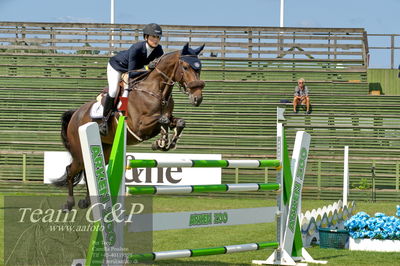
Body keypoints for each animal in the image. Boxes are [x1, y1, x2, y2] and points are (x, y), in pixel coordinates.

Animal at [52, 42, 206, 211]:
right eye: (185, 67)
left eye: (199, 68)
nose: (197, 98)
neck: (155, 91)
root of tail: (75, 114)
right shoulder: (139, 126)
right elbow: (163, 120)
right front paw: (161, 142)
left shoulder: (165, 119)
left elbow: (178, 122)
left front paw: (165, 143)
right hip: (79, 152)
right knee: (70, 170)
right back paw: (68, 204)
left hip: (105, 149)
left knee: (88, 171)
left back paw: (87, 201)